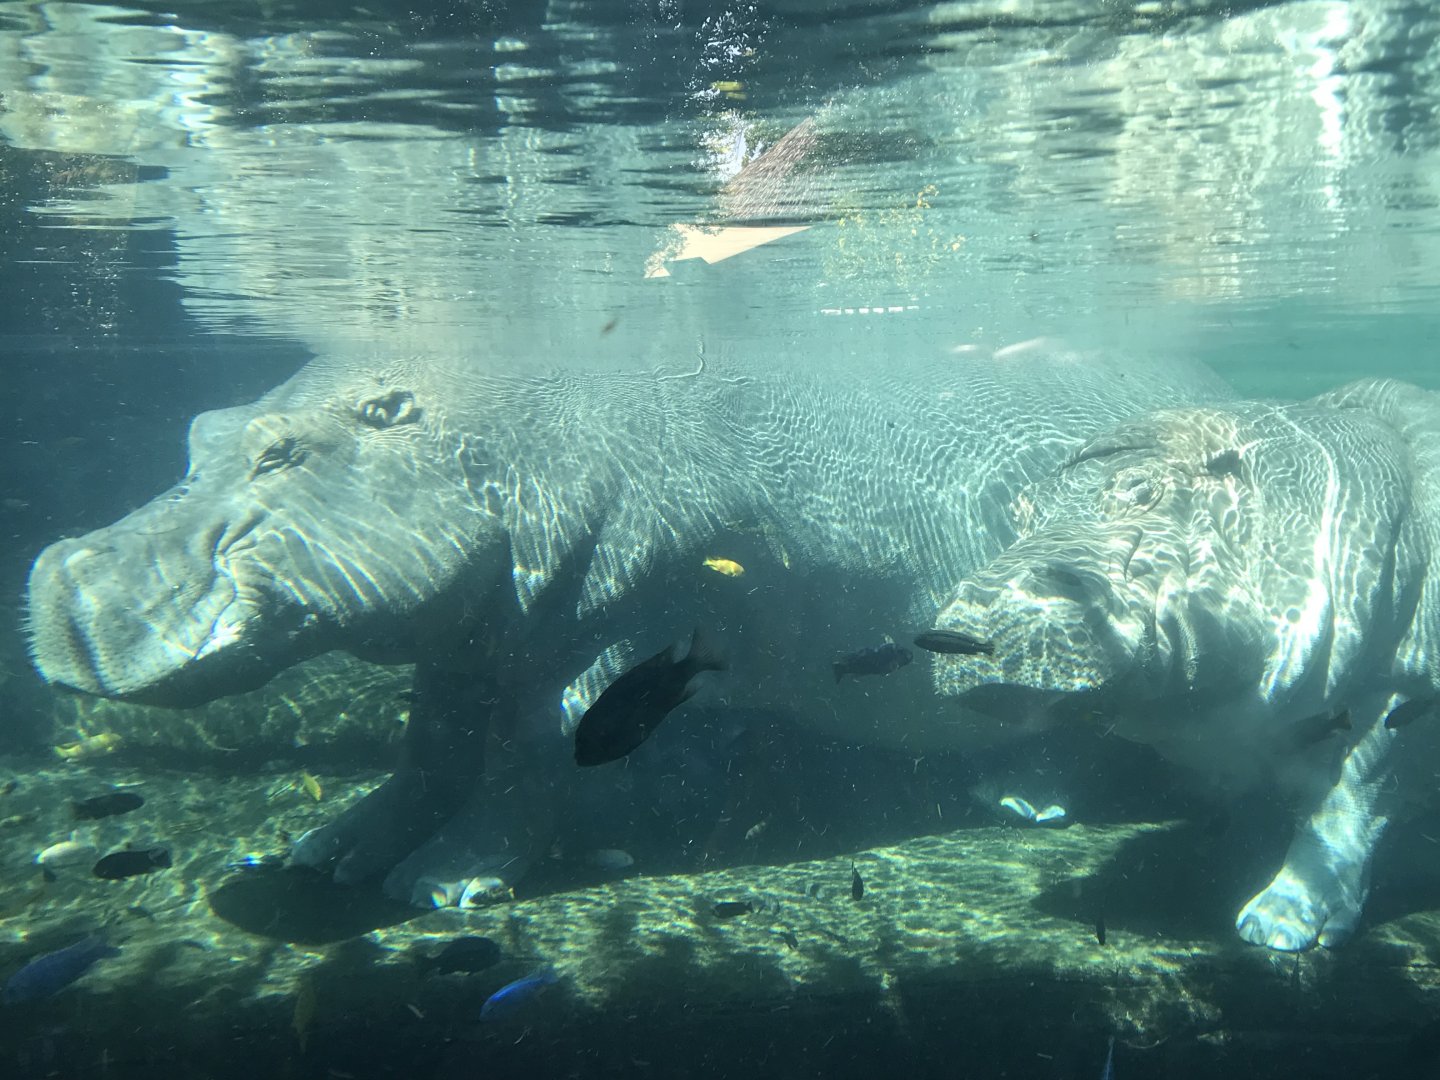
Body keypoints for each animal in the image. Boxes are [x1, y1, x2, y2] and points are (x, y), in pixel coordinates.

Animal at [27, 344, 1229, 907]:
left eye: (283, 451)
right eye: (203, 429)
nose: (67, 581)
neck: (497, 437)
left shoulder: (602, 628)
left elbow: (531, 762)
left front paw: (439, 884)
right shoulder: (474, 643)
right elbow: (427, 752)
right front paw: (327, 855)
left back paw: (1028, 805)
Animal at [929, 378, 1440, 951]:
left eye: (1141, 487)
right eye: (1020, 509)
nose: (973, 612)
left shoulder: (1399, 690)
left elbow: (1344, 803)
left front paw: (1275, 925)